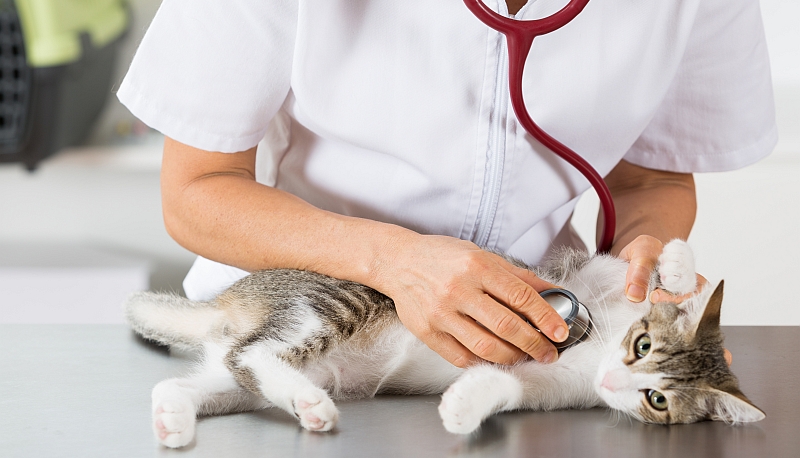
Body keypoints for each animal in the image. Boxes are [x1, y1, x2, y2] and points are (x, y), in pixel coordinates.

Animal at [123, 240, 764, 448]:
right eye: (642, 346)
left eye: (659, 401)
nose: (616, 379)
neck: (592, 350)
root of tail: (232, 299)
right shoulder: (585, 277)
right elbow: (634, 265)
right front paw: (676, 268)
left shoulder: (549, 385)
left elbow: (505, 383)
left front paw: (463, 406)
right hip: (331, 305)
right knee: (252, 353)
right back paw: (310, 405)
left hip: (243, 378)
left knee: (206, 375)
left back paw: (175, 419)